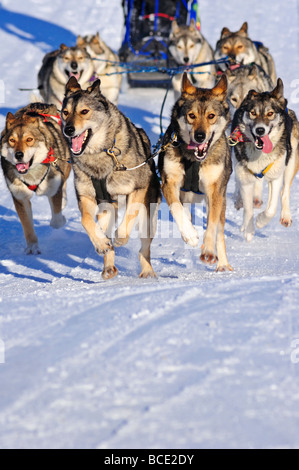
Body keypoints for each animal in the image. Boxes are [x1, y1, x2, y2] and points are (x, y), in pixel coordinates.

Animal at [0, 102, 71, 253]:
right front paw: (32, 247)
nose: (18, 155)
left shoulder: (54, 188)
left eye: (29, 139)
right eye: (12, 140)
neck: (32, 174)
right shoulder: (20, 197)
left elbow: (56, 222)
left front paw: (61, 219)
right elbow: (27, 226)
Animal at [60, 77, 162, 280]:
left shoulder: (138, 188)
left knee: (144, 249)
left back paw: (147, 271)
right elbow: (85, 220)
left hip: (148, 216)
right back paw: (108, 264)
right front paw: (101, 244)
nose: (68, 129)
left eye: (84, 111)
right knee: (106, 236)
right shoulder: (88, 197)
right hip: (107, 209)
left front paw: (121, 237)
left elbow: (129, 215)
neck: (99, 154)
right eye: (65, 113)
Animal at [158, 73, 233, 272]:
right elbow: (176, 208)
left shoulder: (214, 190)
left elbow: (212, 225)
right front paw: (190, 235)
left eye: (211, 116)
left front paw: (208, 251)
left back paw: (223, 263)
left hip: (221, 200)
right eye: (191, 116)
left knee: (220, 231)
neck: (194, 160)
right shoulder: (169, 182)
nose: (200, 136)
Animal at [234, 79, 299, 241]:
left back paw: (286, 216)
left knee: (285, 192)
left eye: (270, 113)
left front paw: (261, 221)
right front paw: (249, 230)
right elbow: (248, 209)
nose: (260, 130)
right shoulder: (245, 178)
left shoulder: (275, 177)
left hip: (291, 163)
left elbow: (271, 208)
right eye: (253, 113)